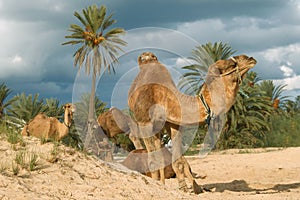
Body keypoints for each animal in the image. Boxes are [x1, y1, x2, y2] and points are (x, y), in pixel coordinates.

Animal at [127, 52, 256, 194]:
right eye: (230, 64)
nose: (250, 58)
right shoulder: (144, 122)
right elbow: (153, 160)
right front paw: (156, 186)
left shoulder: (173, 123)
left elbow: (178, 160)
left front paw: (184, 188)